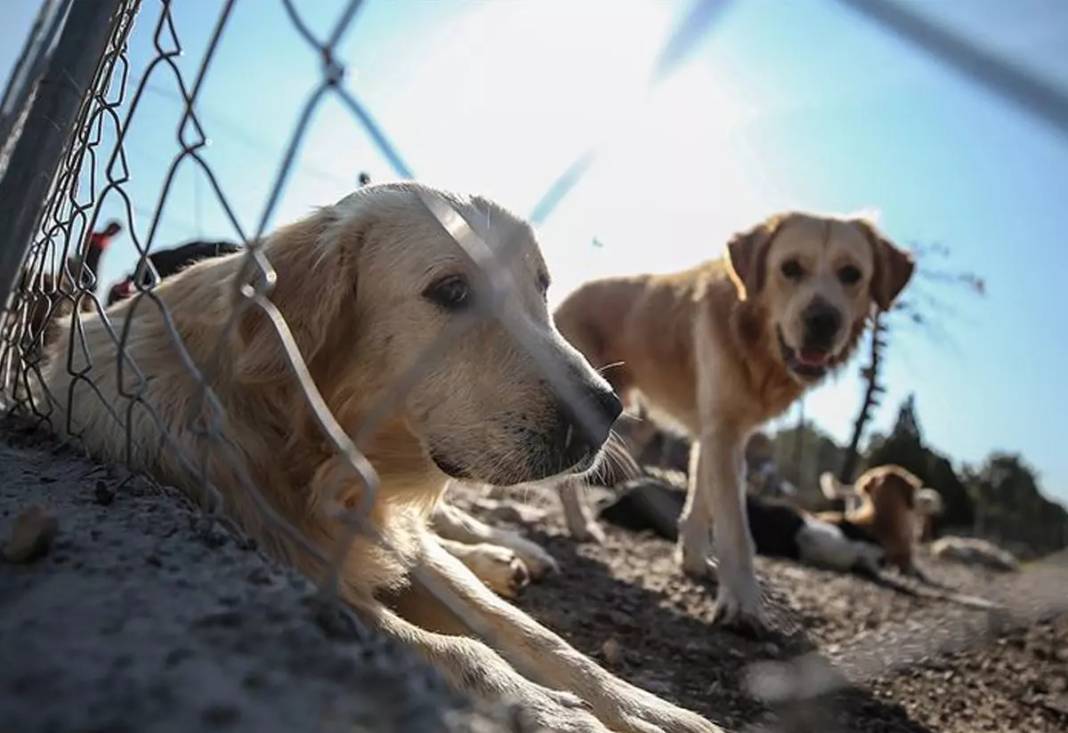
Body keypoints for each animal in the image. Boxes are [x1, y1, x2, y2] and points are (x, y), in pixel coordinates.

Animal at [35, 183, 717, 733]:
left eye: (542, 289)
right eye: (451, 290)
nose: (607, 412)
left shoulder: (396, 534)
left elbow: (535, 636)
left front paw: (649, 708)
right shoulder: (284, 559)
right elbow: (458, 651)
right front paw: (548, 711)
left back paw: (510, 552)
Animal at [555, 211, 914, 632]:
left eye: (851, 274)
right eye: (790, 268)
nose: (823, 322)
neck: (753, 337)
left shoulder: (717, 432)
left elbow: (701, 503)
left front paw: (694, 561)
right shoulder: (722, 433)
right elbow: (735, 527)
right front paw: (743, 601)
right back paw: (580, 525)